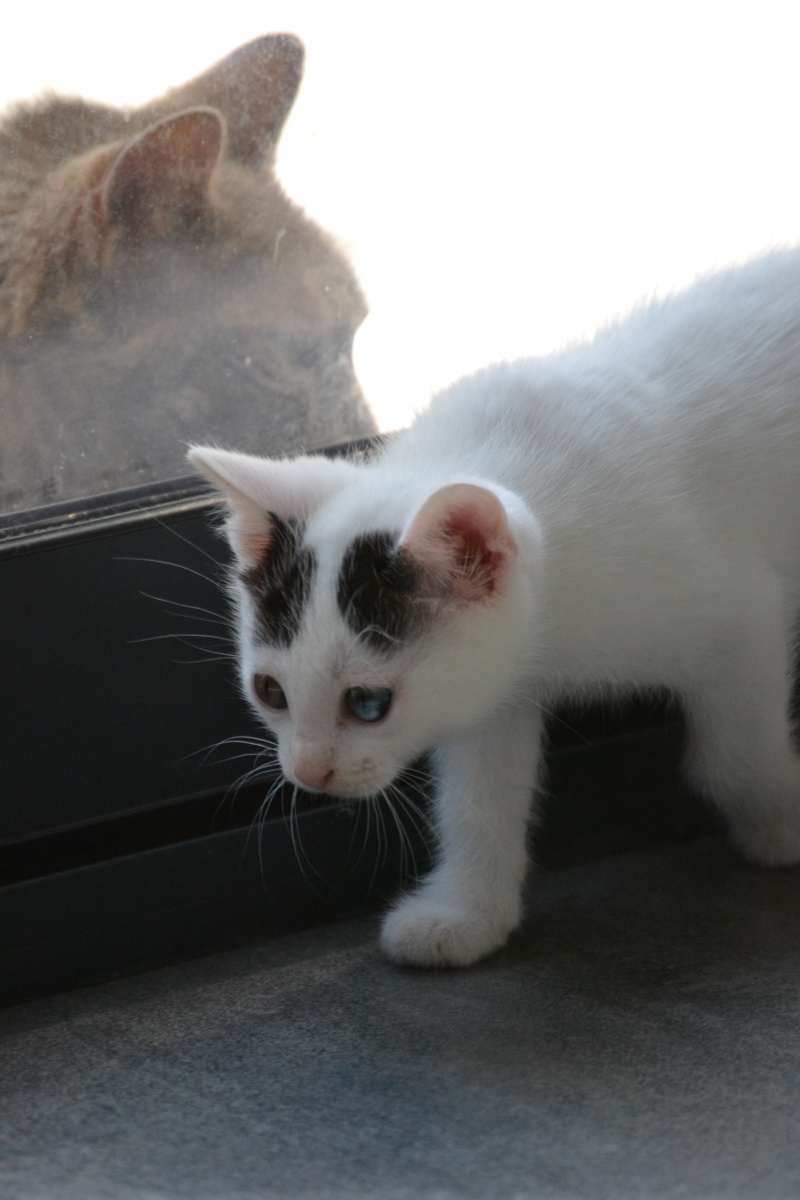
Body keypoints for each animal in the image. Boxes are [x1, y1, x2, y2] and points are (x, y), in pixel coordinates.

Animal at [189, 248, 800, 969]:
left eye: (368, 704)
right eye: (271, 692)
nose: (310, 774)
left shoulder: (739, 612)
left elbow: (733, 757)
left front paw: (781, 822)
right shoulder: (493, 682)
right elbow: (477, 799)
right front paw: (467, 914)